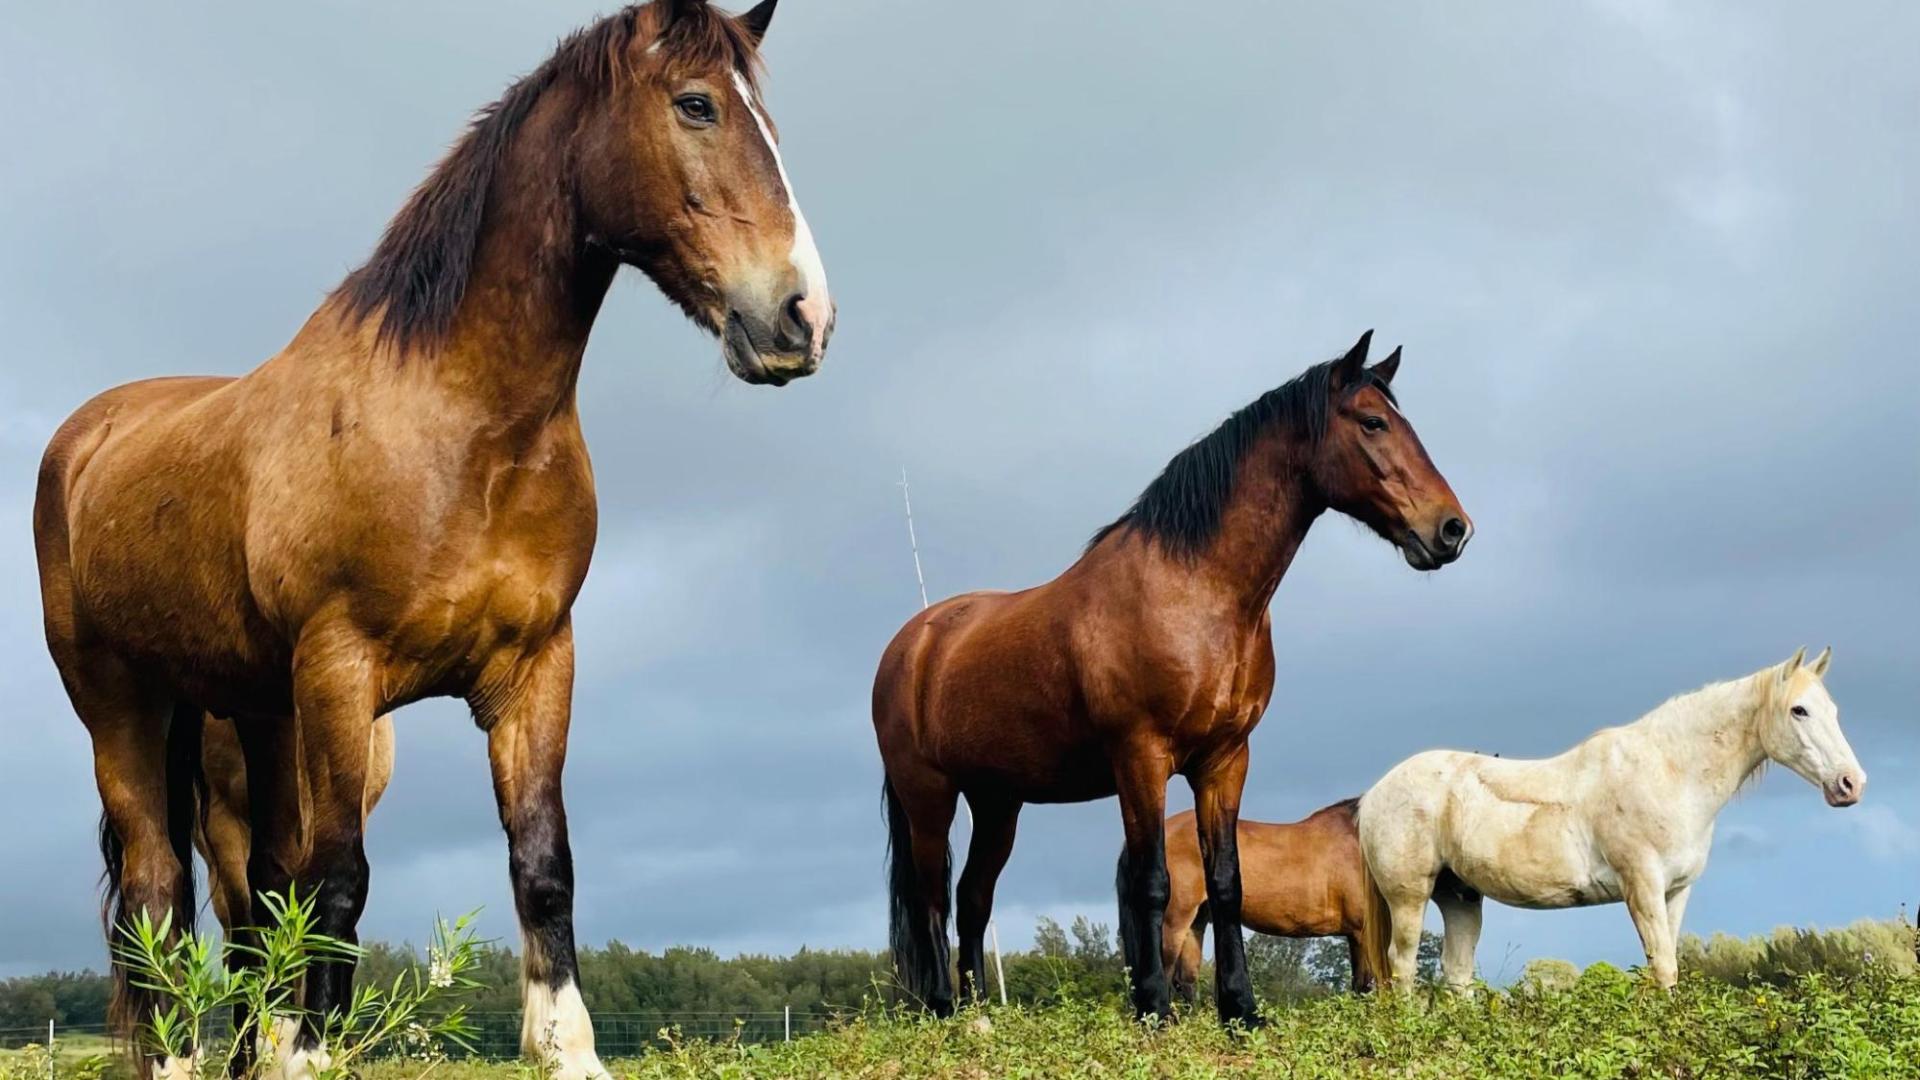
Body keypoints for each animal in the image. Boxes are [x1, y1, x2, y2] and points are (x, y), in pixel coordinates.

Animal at [32, 3, 830, 1077]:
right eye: (697, 104)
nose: (801, 316)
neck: (461, 426)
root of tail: (89, 436)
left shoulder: (536, 668)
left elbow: (541, 861)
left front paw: (564, 1046)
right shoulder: (340, 670)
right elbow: (340, 882)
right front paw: (313, 1053)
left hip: (253, 712)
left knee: (256, 895)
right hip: (122, 707)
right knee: (159, 897)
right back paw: (181, 1056)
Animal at [1157, 798, 1376, 1000]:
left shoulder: (1356, 934)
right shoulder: (1362, 931)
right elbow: (1366, 987)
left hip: (1196, 920)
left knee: (1185, 981)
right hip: (1175, 919)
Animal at [1356, 648, 1866, 993]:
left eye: (1834, 711)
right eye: (1799, 710)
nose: (1850, 784)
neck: (1669, 772)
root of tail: (1373, 796)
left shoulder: (1676, 892)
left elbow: (1669, 962)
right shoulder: (1642, 887)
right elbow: (1663, 966)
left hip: (1460, 898)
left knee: (1456, 975)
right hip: (1409, 898)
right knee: (1402, 967)